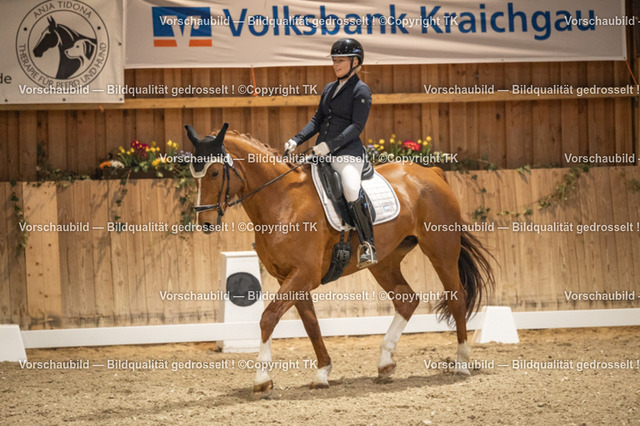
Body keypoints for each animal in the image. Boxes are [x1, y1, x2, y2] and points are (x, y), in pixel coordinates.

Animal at [185, 124, 494, 398]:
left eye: (214, 172)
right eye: (194, 174)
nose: (205, 223)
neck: (282, 202)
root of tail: (431, 172)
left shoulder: (303, 275)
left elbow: (268, 317)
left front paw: (262, 380)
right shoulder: (290, 278)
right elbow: (311, 324)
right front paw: (322, 373)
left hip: (441, 250)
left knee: (456, 297)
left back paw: (462, 362)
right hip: (385, 262)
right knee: (407, 299)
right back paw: (385, 363)